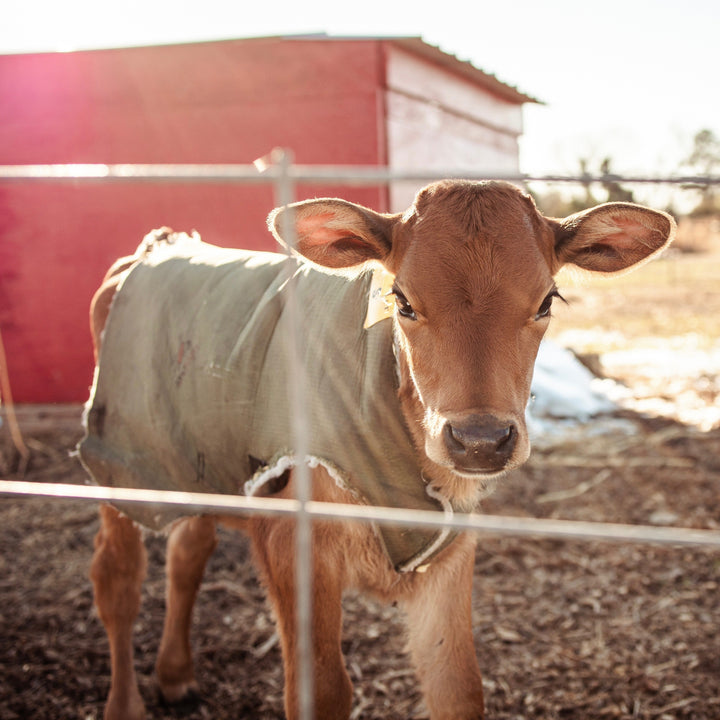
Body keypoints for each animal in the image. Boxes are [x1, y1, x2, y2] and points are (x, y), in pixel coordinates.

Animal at [80, 180, 676, 720]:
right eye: (403, 301)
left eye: (547, 300)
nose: (480, 439)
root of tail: (157, 246)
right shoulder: (291, 539)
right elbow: (321, 692)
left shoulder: (449, 550)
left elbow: (459, 689)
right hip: (118, 461)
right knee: (116, 580)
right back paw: (125, 704)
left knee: (188, 551)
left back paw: (175, 676)